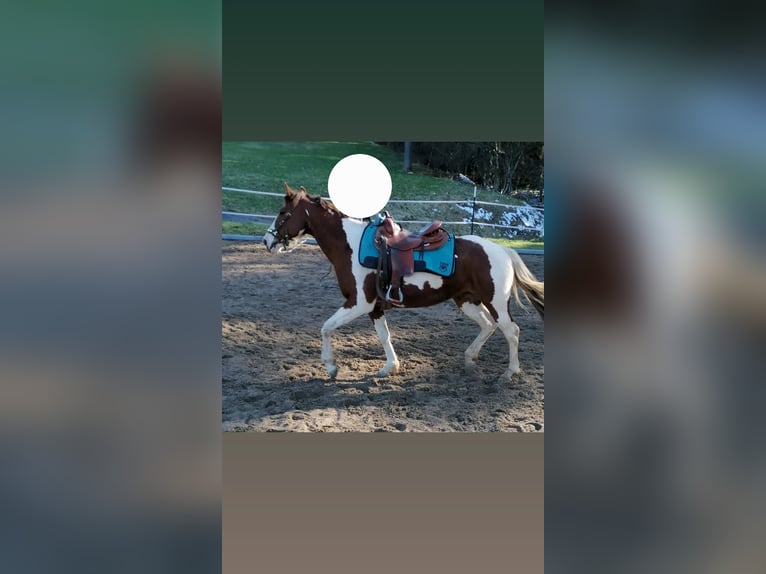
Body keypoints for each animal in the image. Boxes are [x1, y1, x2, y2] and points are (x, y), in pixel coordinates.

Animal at [263, 183, 544, 383]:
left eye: (283, 213)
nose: (267, 241)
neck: (350, 245)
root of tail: (502, 250)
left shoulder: (358, 303)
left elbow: (326, 328)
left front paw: (331, 366)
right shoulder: (374, 307)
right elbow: (384, 335)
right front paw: (390, 367)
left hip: (496, 302)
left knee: (511, 331)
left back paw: (510, 372)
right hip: (467, 301)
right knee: (488, 325)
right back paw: (469, 358)